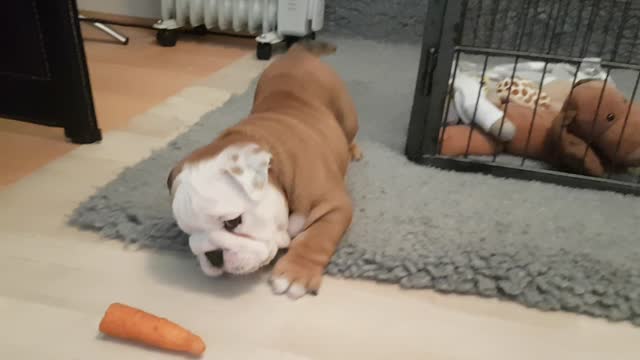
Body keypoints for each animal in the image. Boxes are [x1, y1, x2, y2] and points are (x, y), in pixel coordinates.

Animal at [168, 38, 362, 298]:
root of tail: (297, 54)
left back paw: (353, 151)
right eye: (187, 230)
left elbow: (316, 237)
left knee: (348, 133)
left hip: (347, 115)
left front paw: (296, 273)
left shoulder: (334, 206)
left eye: (233, 222)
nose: (213, 255)